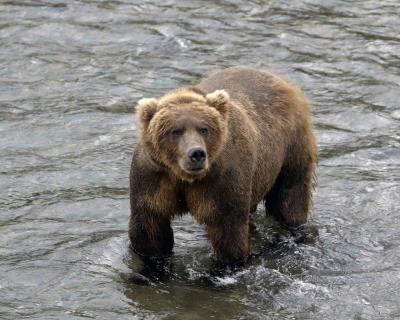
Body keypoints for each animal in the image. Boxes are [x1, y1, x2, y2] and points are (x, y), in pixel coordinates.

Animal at [130, 66, 318, 264]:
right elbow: (150, 231)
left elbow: (229, 234)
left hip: (291, 146)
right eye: (175, 131)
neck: (184, 178)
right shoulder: (154, 179)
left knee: (290, 195)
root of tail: (282, 81)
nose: (197, 154)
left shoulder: (223, 180)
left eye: (204, 129)